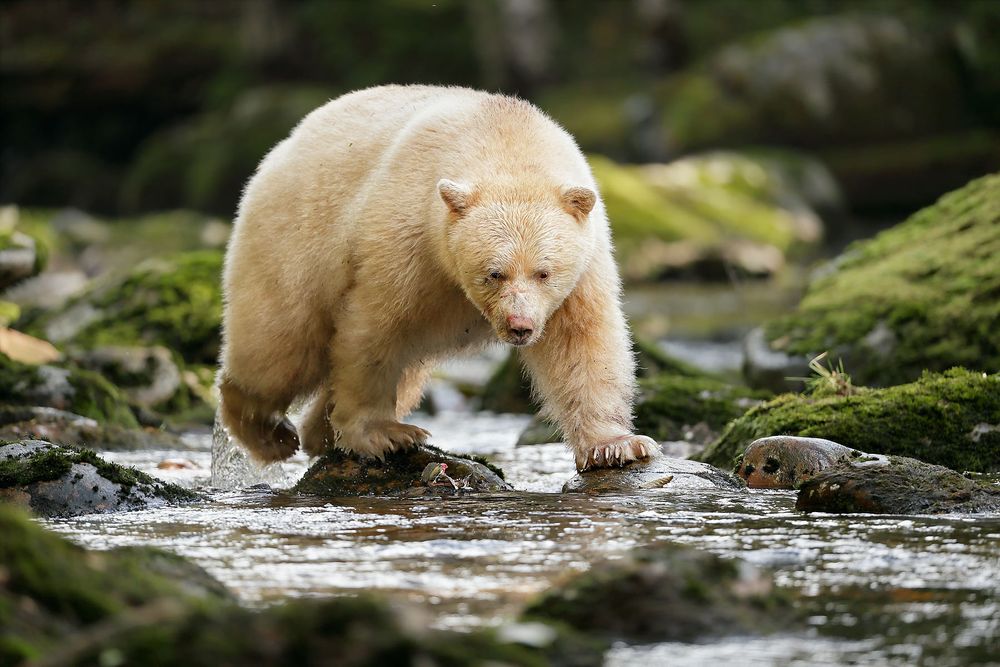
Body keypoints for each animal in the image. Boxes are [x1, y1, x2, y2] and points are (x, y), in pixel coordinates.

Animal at [219, 84, 657, 471]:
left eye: (544, 272)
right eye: (493, 273)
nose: (520, 326)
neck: (505, 136)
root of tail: (285, 145)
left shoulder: (583, 267)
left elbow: (581, 342)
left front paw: (616, 446)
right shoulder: (408, 239)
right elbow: (373, 331)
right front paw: (382, 434)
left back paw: (317, 433)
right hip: (292, 240)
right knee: (282, 347)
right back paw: (267, 433)